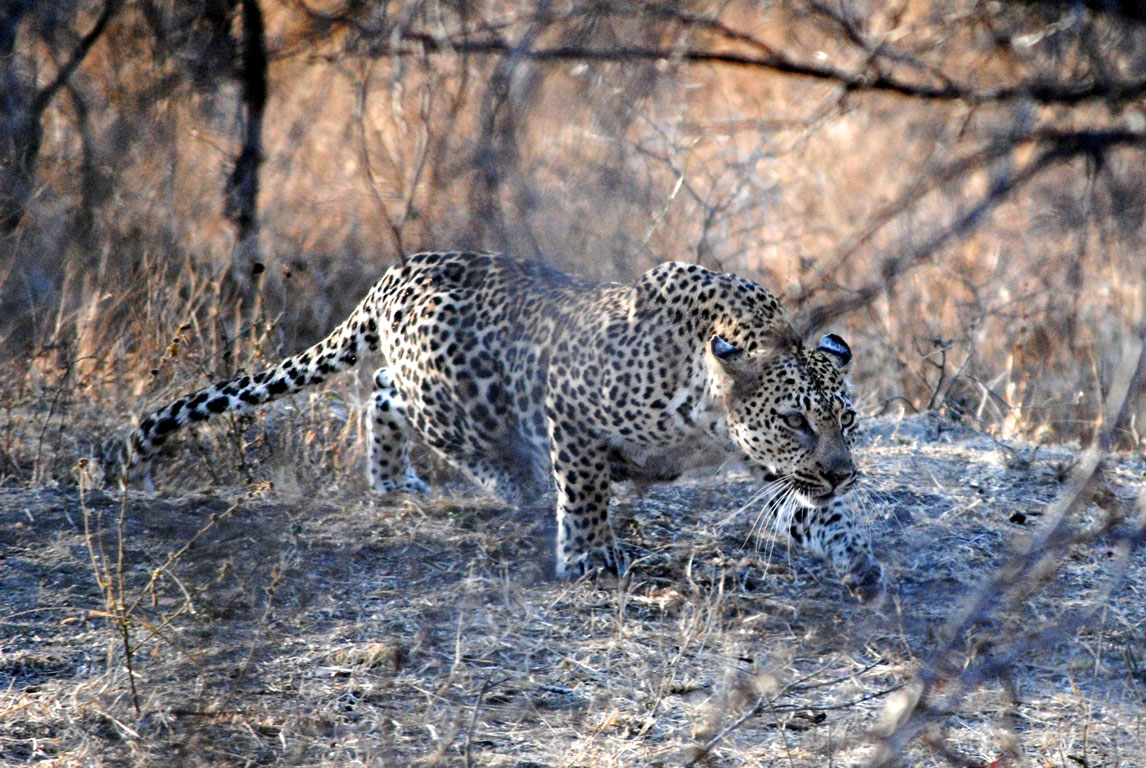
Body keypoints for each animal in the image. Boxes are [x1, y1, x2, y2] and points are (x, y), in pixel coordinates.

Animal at [111, 251, 882, 599]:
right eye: (795, 419)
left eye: (846, 421)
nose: (844, 473)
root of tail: (395, 271)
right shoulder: (571, 403)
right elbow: (585, 491)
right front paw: (589, 557)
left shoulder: (780, 470)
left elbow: (810, 511)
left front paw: (856, 557)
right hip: (461, 398)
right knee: (432, 419)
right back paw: (513, 487)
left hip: (432, 386)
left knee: (382, 392)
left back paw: (393, 482)